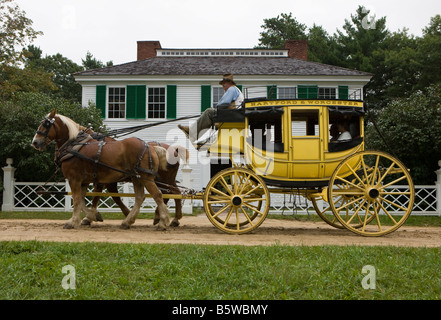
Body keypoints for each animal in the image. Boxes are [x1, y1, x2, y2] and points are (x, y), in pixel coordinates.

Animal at [31, 110, 170, 230]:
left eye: (46, 124)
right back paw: (127, 221)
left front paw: (73, 221)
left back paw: (163, 222)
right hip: (137, 178)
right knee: (140, 198)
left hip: (146, 177)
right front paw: (91, 216)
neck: (74, 145)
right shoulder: (84, 181)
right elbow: (82, 200)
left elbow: (77, 199)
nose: (35, 142)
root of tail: (150, 146)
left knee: (158, 195)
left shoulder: (74, 178)